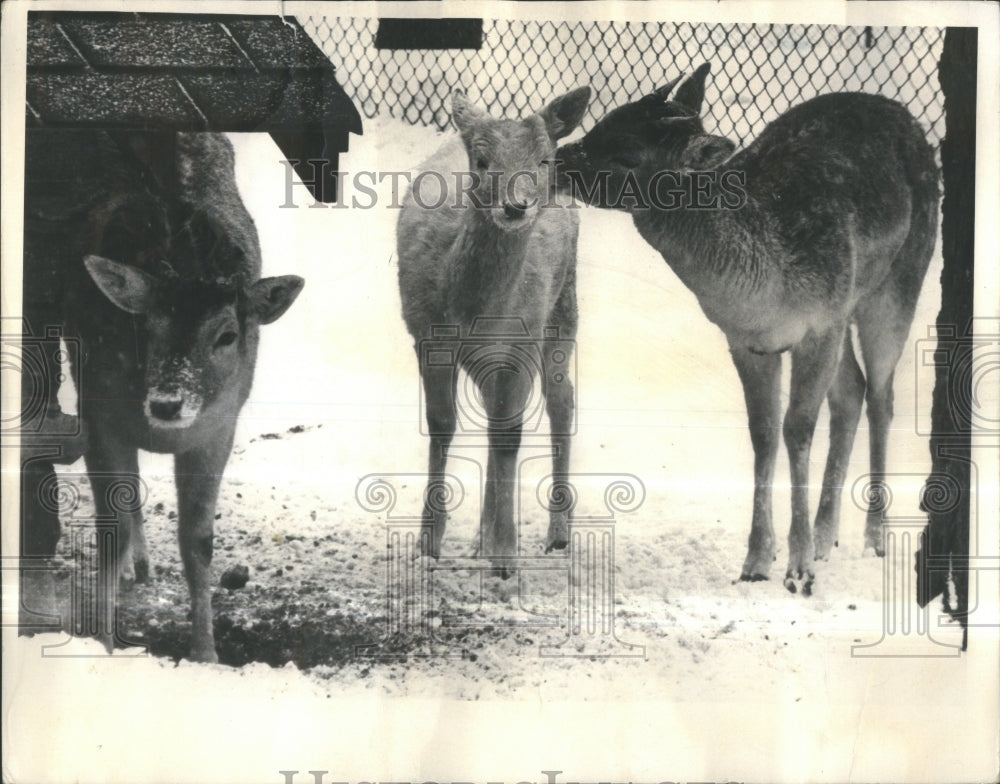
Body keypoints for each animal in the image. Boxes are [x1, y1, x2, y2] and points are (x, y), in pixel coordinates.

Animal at [394, 87, 588, 576]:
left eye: (542, 159)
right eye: (481, 161)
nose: (517, 205)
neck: (471, 311)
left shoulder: (521, 340)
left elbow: (509, 435)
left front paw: (506, 557)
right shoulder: (426, 334)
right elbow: (442, 423)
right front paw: (429, 543)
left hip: (562, 304)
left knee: (561, 401)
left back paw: (557, 533)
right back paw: (481, 539)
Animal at [556, 66, 936, 596]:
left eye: (628, 154)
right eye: (601, 122)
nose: (556, 159)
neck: (762, 285)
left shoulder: (820, 323)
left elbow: (797, 428)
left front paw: (798, 571)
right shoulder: (750, 340)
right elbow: (764, 432)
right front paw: (757, 561)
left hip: (898, 280)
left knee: (882, 394)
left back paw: (873, 537)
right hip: (846, 313)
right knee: (852, 391)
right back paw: (826, 536)